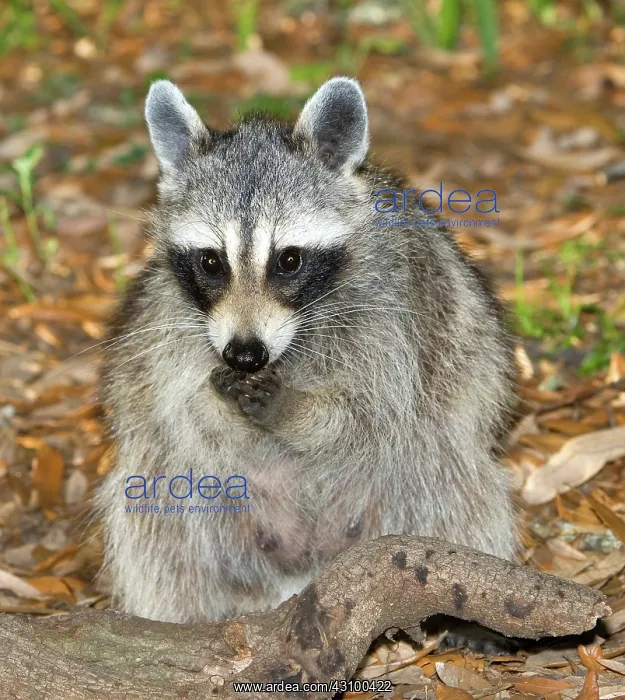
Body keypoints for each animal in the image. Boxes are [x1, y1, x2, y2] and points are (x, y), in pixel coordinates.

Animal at [96, 77, 518, 624]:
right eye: (211, 262)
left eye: (289, 260)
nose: (244, 355)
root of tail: (307, 566)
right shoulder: (170, 328)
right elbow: (188, 416)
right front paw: (224, 407)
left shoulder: (399, 312)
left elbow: (373, 418)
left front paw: (294, 411)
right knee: (157, 512)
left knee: (452, 476)